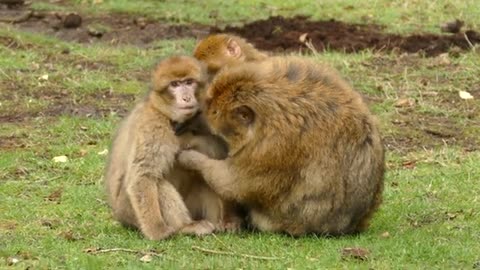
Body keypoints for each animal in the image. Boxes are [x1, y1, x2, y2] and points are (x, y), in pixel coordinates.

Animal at [103, 55, 242, 240]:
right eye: (175, 84)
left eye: (189, 82)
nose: (186, 98)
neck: (168, 116)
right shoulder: (153, 126)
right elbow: (142, 177)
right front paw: (157, 231)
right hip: (128, 211)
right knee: (158, 182)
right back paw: (185, 227)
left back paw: (223, 222)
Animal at [178, 56, 384, 236]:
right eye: (209, 104)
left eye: (214, 112)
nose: (201, 113)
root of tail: (352, 225)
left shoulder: (269, 149)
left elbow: (232, 183)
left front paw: (190, 158)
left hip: (285, 221)